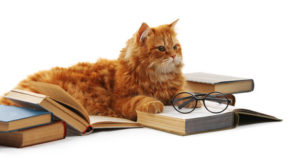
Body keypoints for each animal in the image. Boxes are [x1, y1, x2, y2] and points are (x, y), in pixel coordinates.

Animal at [0, 20, 185, 120]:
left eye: (176, 47)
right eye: (161, 48)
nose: (174, 55)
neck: (158, 79)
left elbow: (181, 94)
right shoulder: (119, 100)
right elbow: (140, 100)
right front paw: (154, 103)